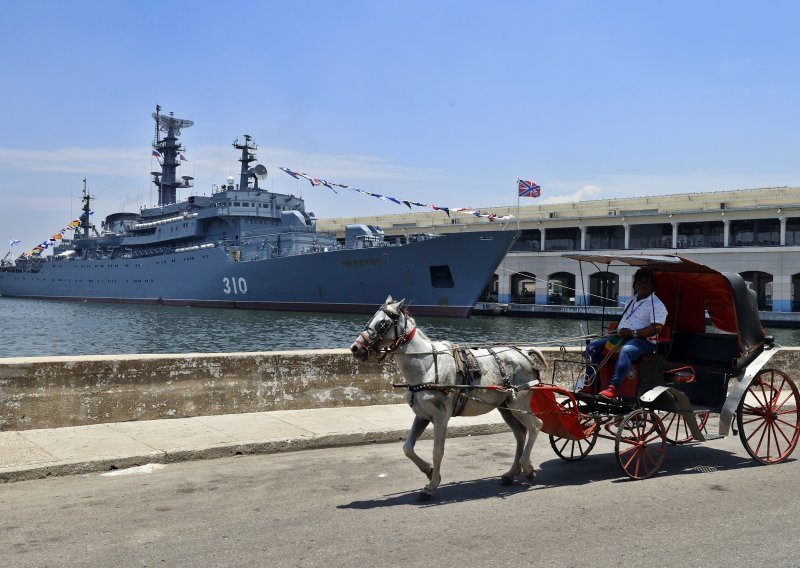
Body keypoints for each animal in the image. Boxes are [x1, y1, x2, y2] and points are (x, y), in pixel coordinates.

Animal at [352, 296, 552, 500]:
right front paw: (429, 471)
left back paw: (527, 467)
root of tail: (524, 353)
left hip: (519, 402)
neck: (427, 365)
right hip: (506, 407)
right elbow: (407, 448)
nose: (356, 348)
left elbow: (437, 452)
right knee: (520, 434)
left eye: (382, 324)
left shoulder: (441, 416)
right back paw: (512, 473)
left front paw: (431, 486)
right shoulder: (422, 416)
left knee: (536, 426)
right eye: (371, 318)